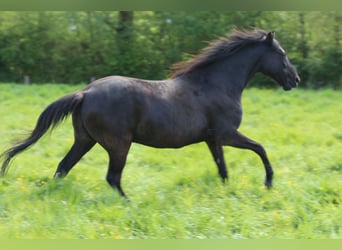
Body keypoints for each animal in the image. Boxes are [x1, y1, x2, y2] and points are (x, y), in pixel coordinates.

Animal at [0, 29, 300, 197]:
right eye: (283, 54)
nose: (295, 80)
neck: (216, 83)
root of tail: (85, 92)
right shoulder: (227, 134)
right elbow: (260, 148)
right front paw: (269, 183)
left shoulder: (213, 139)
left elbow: (222, 169)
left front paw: (228, 192)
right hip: (118, 144)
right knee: (112, 177)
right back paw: (129, 201)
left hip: (85, 140)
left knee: (63, 168)